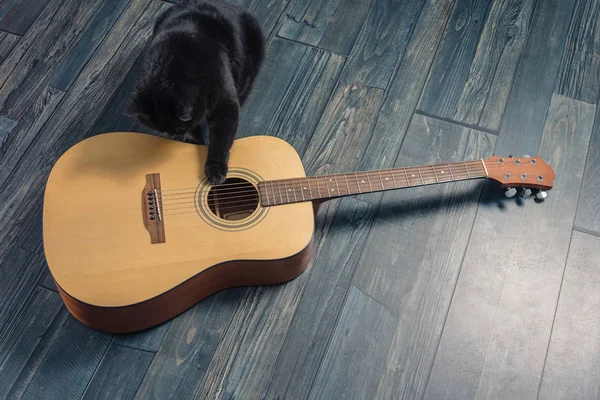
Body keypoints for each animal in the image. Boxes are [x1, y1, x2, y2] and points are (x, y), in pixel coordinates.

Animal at [125, 0, 264, 184]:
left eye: (177, 127)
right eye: (159, 128)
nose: (171, 133)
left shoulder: (225, 105)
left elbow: (221, 140)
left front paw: (215, 169)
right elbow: (194, 129)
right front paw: (193, 144)